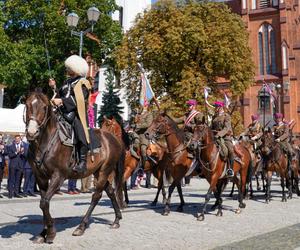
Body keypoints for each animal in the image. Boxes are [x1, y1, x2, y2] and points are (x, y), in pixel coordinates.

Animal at [24, 93, 125, 243]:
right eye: (27, 105)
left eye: (44, 107)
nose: (31, 132)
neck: (46, 142)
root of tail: (113, 138)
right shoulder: (40, 177)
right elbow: (43, 203)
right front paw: (43, 233)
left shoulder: (58, 176)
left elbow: (44, 202)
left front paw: (51, 233)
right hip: (98, 172)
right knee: (111, 191)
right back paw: (116, 220)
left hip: (104, 171)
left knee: (96, 196)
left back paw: (81, 227)